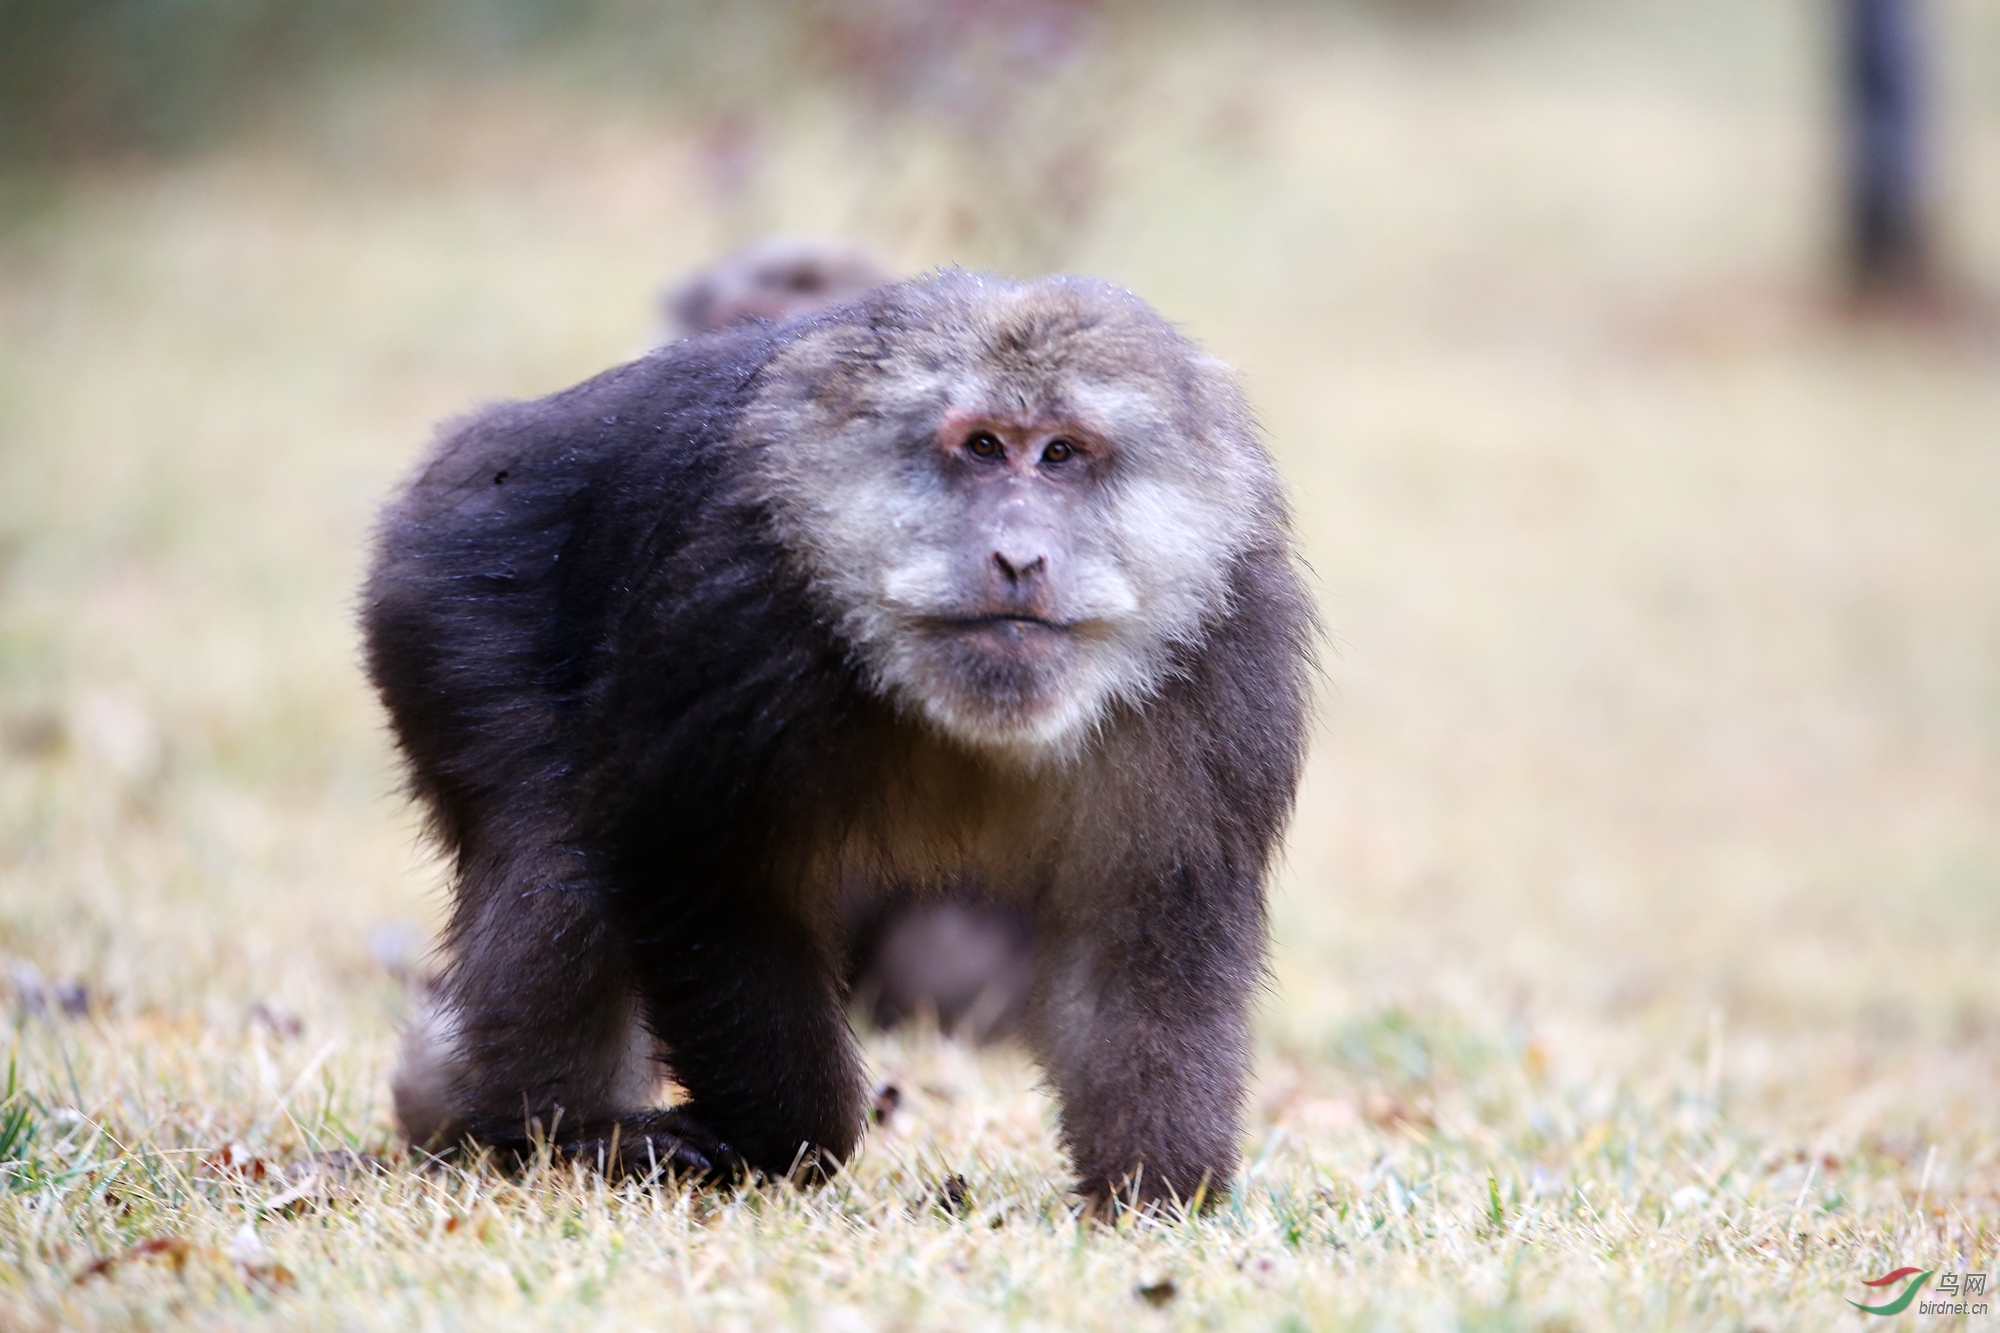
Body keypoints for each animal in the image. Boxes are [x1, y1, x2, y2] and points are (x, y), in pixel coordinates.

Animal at [368, 270, 1312, 1200]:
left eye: (1060, 453)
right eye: (982, 447)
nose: (1018, 558)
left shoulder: (1224, 660)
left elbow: (1140, 924)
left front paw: (1153, 1191)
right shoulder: (736, 616)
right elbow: (698, 873)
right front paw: (787, 1135)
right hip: (445, 598)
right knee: (555, 846)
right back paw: (535, 1132)